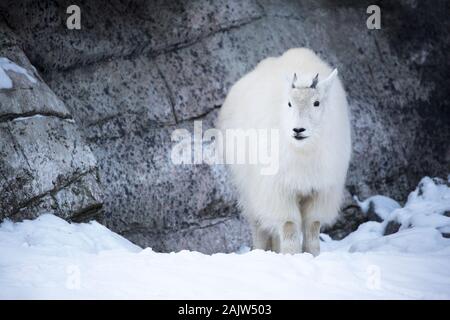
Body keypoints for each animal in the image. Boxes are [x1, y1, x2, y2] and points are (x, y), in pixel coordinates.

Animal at [218, 47, 352, 256]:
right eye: (289, 103)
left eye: (316, 103)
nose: (298, 130)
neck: (303, 152)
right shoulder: (278, 188)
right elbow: (289, 225)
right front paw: (292, 256)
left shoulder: (321, 189)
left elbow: (313, 225)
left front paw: (312, 255)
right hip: (248, 187)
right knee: (258, 224)